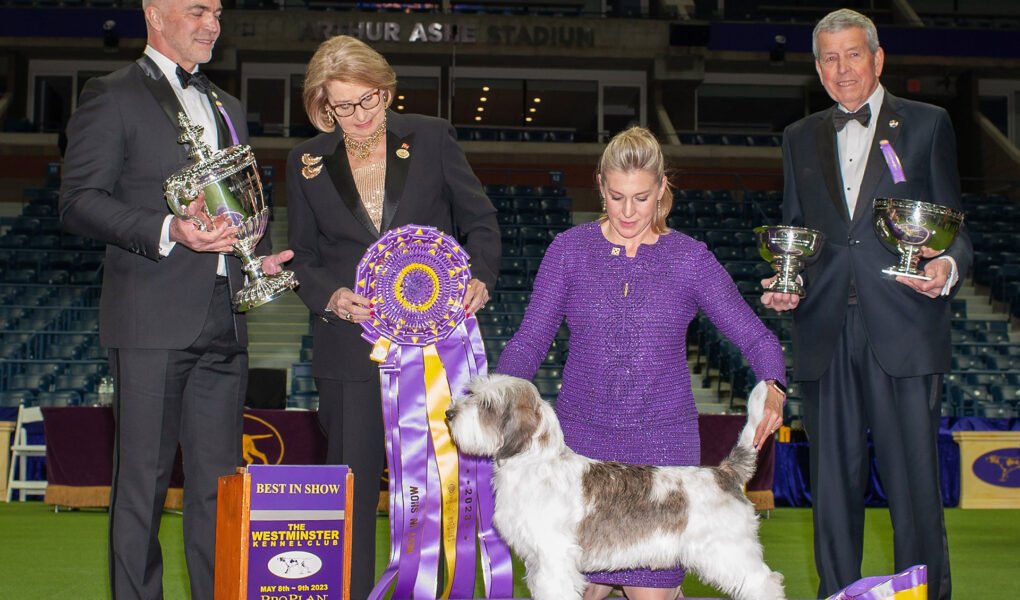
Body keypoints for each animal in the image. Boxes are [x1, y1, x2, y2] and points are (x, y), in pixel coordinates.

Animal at [446, 375, 787, 600]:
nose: (449, 414)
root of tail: (725, 472)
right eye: (472, 392)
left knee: (766, 582)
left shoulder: (554, 559)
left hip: (730, 551)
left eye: (487, 404)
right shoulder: (539, 562)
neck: (535, 464)